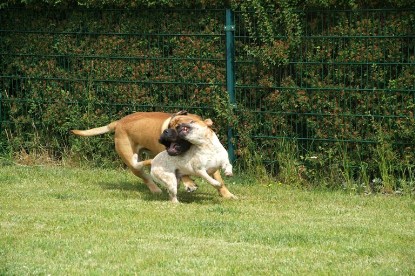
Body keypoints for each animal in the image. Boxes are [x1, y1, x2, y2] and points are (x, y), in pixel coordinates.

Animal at [70, 110, 234, 198]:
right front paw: (189, 184)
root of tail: (118, 123)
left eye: (179, 127)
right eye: (169, 126)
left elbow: (219, 180)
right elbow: (186, 174)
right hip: (132, 162)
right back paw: (156, 189)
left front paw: (227, 194)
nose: (166, 132)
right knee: (146, 177)